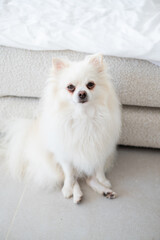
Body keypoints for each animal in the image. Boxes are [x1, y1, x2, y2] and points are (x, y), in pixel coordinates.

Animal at [0, 54, 120, 202]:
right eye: (70, 87)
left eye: (90, 85)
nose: (82, 93)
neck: (83, 115)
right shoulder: (65, 154)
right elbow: (69, 174)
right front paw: (68, 189)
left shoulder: (100, 149)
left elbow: (99, 168)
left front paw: (103, 181)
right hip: (51, 165)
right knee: (71, 178)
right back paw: (75, 193)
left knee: (88, 179)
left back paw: (105, 191)